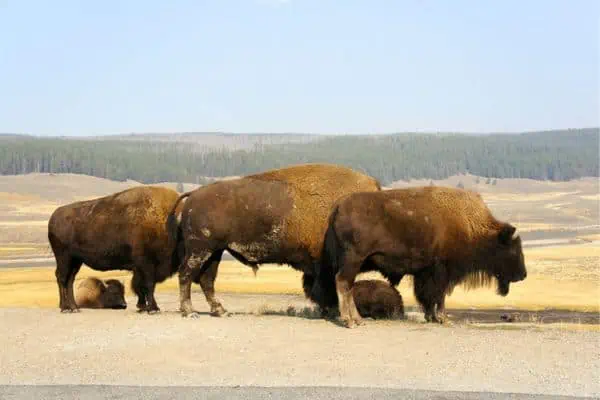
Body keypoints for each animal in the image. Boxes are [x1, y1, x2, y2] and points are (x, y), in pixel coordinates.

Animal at [48, 186, 185, 314]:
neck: (169, 223)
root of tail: (53, 217)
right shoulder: (146, 264)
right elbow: (148, 285)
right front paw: (153, 309)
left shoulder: (139, 267)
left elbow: (140, 286)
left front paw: (143, 307)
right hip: (64, 258)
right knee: (62, 278)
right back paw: (65, 308)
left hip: (76, 260)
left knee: (70, 280)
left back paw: (74, 307)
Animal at [165, 164, 380, 318]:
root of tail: (193, 196)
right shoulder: (324, 264)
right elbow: (326, 288)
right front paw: (332, 311)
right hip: (200, 250)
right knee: (186, 274)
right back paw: (190, 312)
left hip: (215, 252)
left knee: (206, 280)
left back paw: (221, 311)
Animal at [316, 186, 528, 326]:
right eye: (513, 249)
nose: (523, 274)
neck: (471, 226)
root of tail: (337, 209)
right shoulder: (442, 271)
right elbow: (439, 296)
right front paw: (442, 318)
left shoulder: (426, 273)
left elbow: (428, 297)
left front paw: (431, 317)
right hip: (353, 260)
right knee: (343, 283)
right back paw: (351, 321)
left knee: (347, 285)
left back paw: (357, 319)